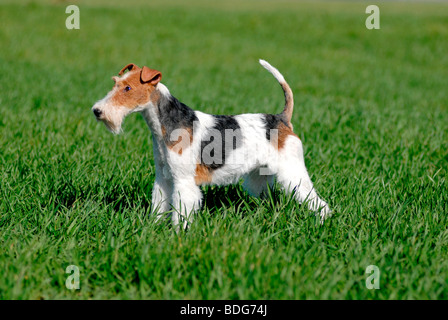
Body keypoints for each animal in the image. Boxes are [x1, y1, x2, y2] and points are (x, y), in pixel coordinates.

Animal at [92, 60, 328, 230]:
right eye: (115, 83)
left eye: (128, 88)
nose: (97, 111)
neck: (165, 125)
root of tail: (282, 118)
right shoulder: (164, 177)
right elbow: (159, 204)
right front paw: (154, 227)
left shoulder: (183, 181)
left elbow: (181, 211)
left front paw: (178, 234)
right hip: (260, 175)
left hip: (293, 170)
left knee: (318, 202)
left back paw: (321, 222)